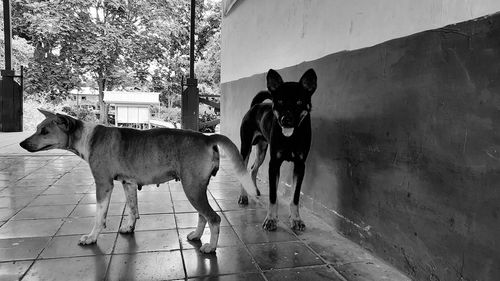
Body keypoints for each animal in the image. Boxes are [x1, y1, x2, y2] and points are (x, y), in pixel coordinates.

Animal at [238, 68, 316, 230]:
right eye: (280, 101)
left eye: (299, 102)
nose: (286, 120)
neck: (291, 137)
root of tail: (255, 106)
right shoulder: (274, 164)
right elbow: (273, 196)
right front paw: (271, 219)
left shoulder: (300, 165)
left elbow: (295, 197)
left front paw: (296, 219)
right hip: (246, 148)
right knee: (244, 170)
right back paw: (243, 196)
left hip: (262, 151)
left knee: (253, 169)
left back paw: (254, 190)